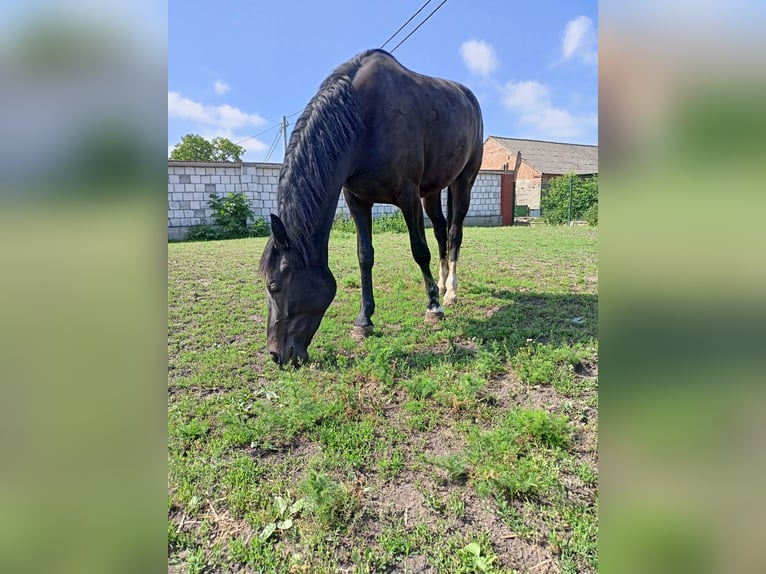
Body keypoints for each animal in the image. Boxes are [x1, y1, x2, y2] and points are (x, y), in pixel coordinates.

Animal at [260, 48, 484, 364]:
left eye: (274, 286)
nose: (277, 355)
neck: (363, 120)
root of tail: (468, 97)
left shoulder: (407, 197)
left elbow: (419, 251)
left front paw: (433, 308)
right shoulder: (358, 200)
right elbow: (365, 256)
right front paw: (364, 321)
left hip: (463, 181)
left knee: (453, 234)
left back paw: (449, 292)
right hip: (432, 191)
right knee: (441, 231)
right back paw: (441, 286)